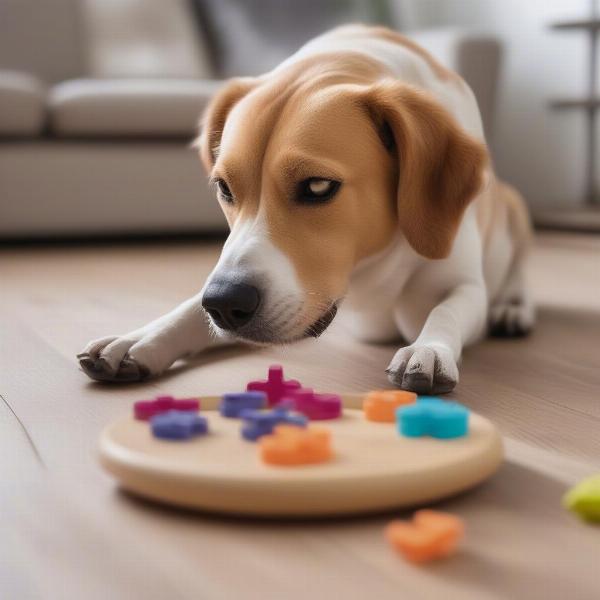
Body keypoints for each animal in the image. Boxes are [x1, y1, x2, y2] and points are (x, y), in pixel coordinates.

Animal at [77, 24, 532, 394]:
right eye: (224, 188)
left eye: (317, 186)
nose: (225, 302)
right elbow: (190, 310)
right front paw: (139, 339)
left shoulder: (461, 284)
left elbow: (448, 310)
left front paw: (429, 348)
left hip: (517, 213)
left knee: (517, 279)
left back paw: (512, 309)